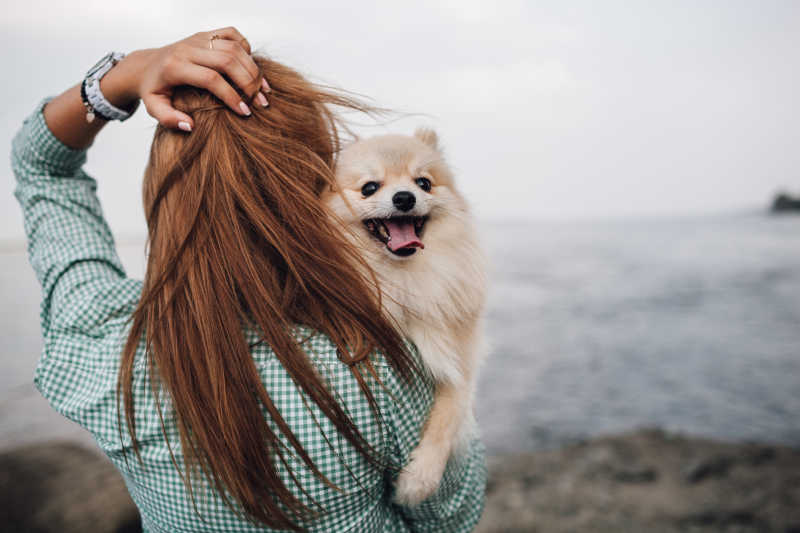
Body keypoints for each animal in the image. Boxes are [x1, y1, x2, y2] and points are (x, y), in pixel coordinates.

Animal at [324, 129, 488, 502]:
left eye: (423, 183)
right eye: (369, 187)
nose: (403, 197)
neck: (403, 276)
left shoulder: (461, 357)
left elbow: (450, 412)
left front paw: (420, 479)